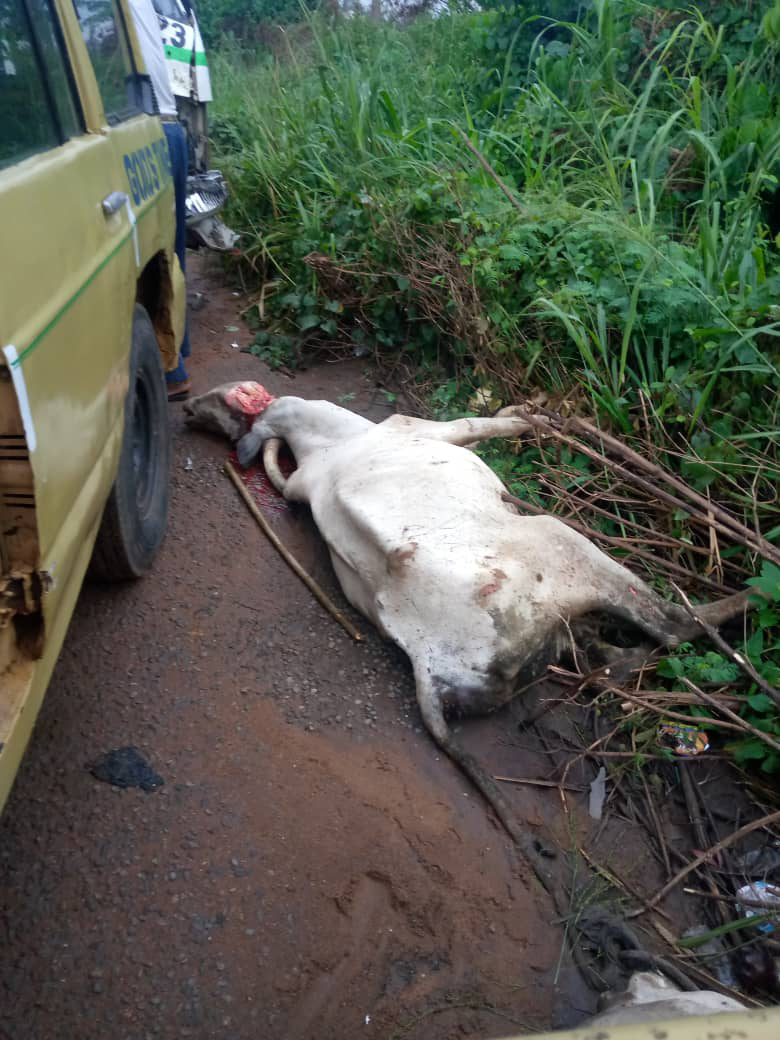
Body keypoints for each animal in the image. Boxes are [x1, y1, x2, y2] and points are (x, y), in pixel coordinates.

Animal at [184, 381, 748, 877]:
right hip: (558, 544)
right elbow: (492, 422)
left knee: (605, 662)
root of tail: (427, 665)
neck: (321, 441)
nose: (187, 408)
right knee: (671, 628)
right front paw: (540, 417)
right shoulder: (428, 428)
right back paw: (745, 599)